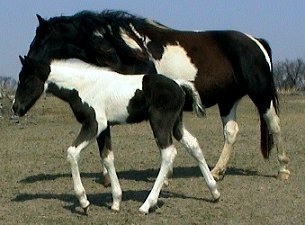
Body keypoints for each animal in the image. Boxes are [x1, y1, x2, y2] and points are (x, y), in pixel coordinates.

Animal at [12, 56, 218, 214]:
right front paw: (116, 202)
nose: (16, 108)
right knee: (193, 145)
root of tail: (179, 84)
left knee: (168, 153)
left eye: (27, 81)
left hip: (160, 123)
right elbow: (107, 158)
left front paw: (84, 203)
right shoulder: (105, 128)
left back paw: (146, 205)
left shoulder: (94, 124)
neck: (83, 86)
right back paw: (214, 191)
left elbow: (72, 153)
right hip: (176, 124)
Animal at [27, 10, 288, 181]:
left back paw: (283, 170)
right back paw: (217, 172)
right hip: (227, 100)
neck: (126, 47)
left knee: (274, 124)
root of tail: (255, 41)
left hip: (261, 94)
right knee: (231, 132)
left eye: (41, 38)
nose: (29, 60)